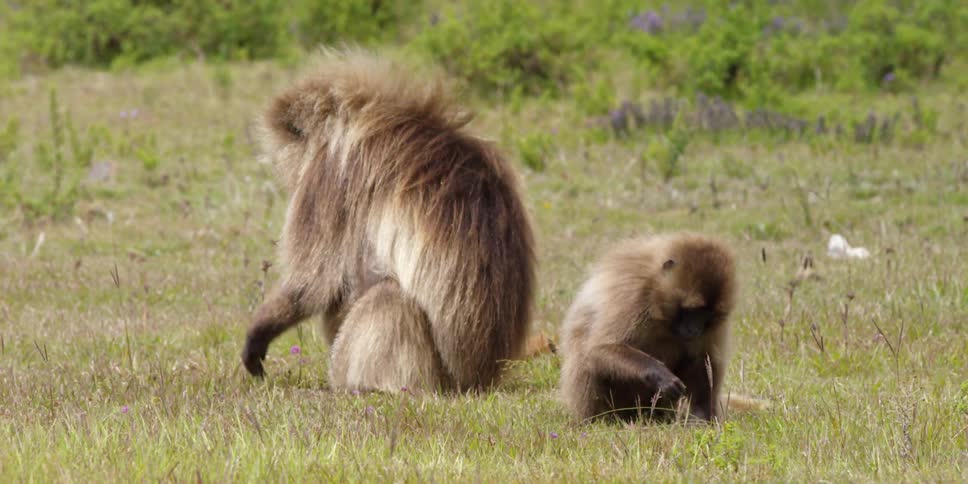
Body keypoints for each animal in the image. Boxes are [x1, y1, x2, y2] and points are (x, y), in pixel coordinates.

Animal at [241, 48, 535, 394]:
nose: (288, 176)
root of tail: (479, 378)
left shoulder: (328, 174)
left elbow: (312, 284)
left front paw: (258, 337)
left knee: (388, 298)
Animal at [558, 233, 767, 423]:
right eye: (693, 310)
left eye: (707, 315)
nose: (695, 330)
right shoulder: (632, 294)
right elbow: (599, 349)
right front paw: (659, 375)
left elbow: (704, 360)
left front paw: (702, 416)